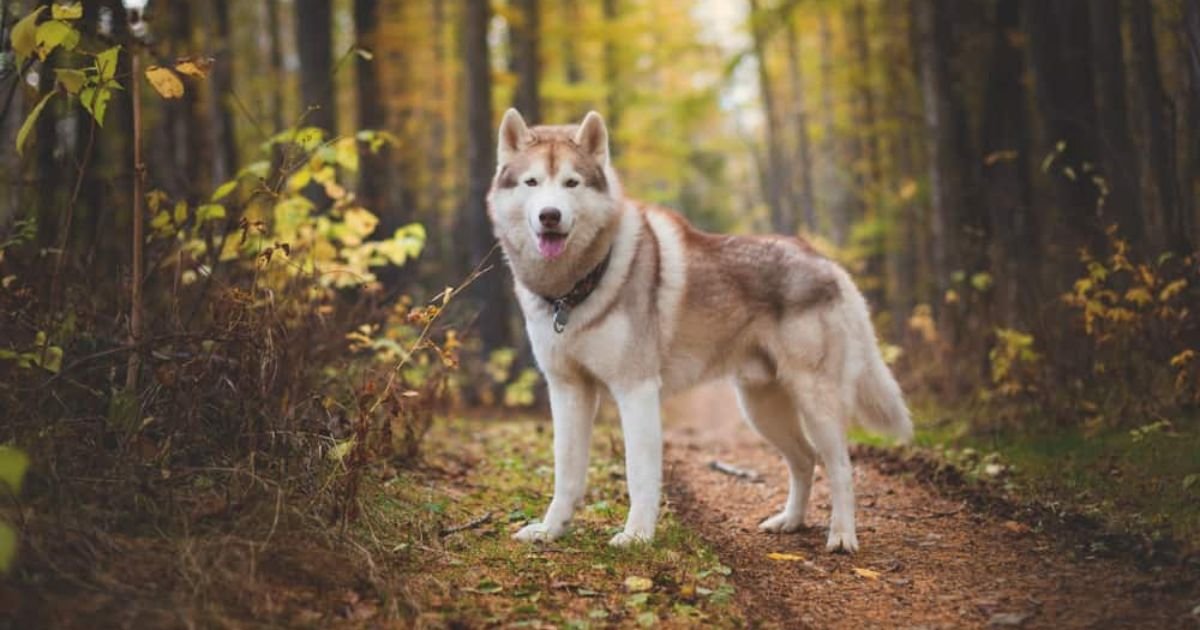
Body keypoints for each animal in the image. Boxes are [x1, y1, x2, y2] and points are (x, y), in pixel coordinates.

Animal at [486, 109, 912, 552]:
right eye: (532, 182)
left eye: (572, 183)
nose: (549, 215)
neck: (574, 290)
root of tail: (828, 263)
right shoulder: (568, 390)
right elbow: (566, 472)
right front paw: (550, 530)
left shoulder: (636, 390)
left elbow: (639, 474)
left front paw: (637, 536)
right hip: (761, 408)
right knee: (805, 459)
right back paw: (790, 521)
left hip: (815, 400)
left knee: (841, 466)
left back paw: (842, 536)